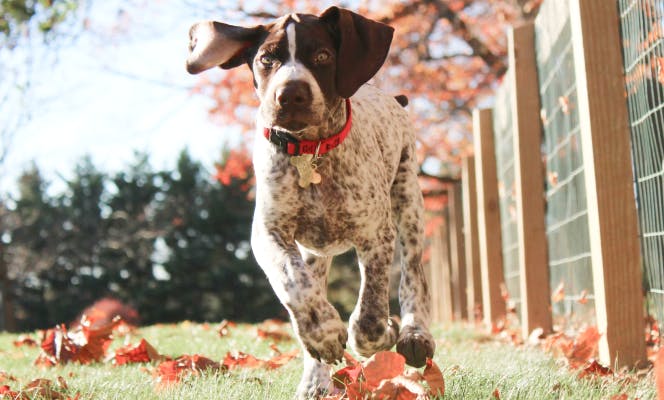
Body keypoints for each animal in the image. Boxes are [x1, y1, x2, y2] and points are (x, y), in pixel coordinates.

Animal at [187, 7, 436, 398]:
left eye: (322, 56)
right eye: (266, 59)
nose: (290, 94)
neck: (310, 152)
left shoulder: (376, 234)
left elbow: (369, 313)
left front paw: (382, 333)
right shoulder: (270, 234)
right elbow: (293, 283)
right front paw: (324, 334)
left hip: (408, 199)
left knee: (413, 274)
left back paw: (414, 334)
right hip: (316, 252)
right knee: (310, 286)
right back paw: (315, 379)